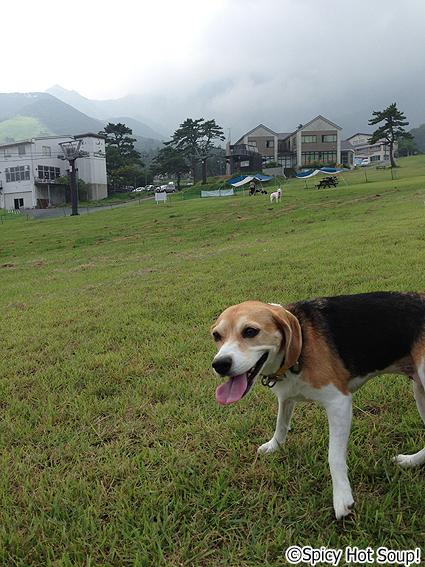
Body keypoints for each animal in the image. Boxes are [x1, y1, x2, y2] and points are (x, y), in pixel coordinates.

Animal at [210, 296, 424, 520]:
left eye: (250, 331)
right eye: (216, 335)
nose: (220, 364)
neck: (299, 343)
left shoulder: (339, 403)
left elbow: (334, 456)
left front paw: (342, 496)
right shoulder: (287, 396)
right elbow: (281, 424)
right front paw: (273, 445)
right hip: (419, 390)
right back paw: (411, 461)